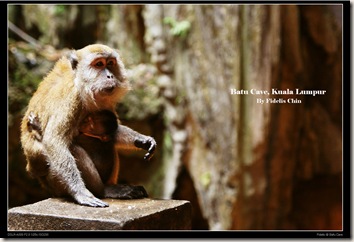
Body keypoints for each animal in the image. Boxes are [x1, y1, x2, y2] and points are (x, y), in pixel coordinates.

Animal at [20, 44, 156, 207]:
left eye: (110, 63)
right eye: (99, 64)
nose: (110, 76)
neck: (81, 83)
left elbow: (113, 131)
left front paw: (143, 140)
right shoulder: (71, 98)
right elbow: (54, 142)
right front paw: (80, 192)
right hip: (55, 183)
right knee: (74, 149)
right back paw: (103, 191)